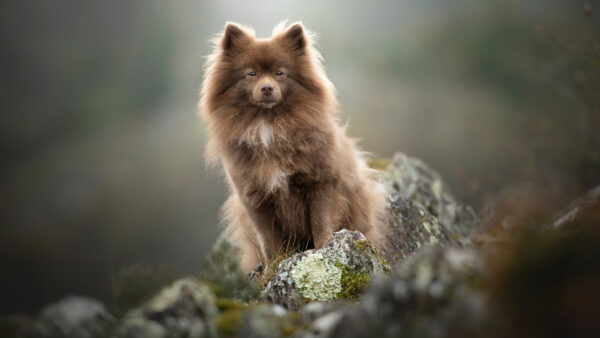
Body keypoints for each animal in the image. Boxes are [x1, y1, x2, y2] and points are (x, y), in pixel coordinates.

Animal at [199, 21, 386, 272]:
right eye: (251, 73)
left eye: (280, 73)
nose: (267, 88)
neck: (270, 127)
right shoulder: (256, 198)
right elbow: (269, 241)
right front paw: (273, 267)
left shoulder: (321, 183)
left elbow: (321, 223)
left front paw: (324, 252)